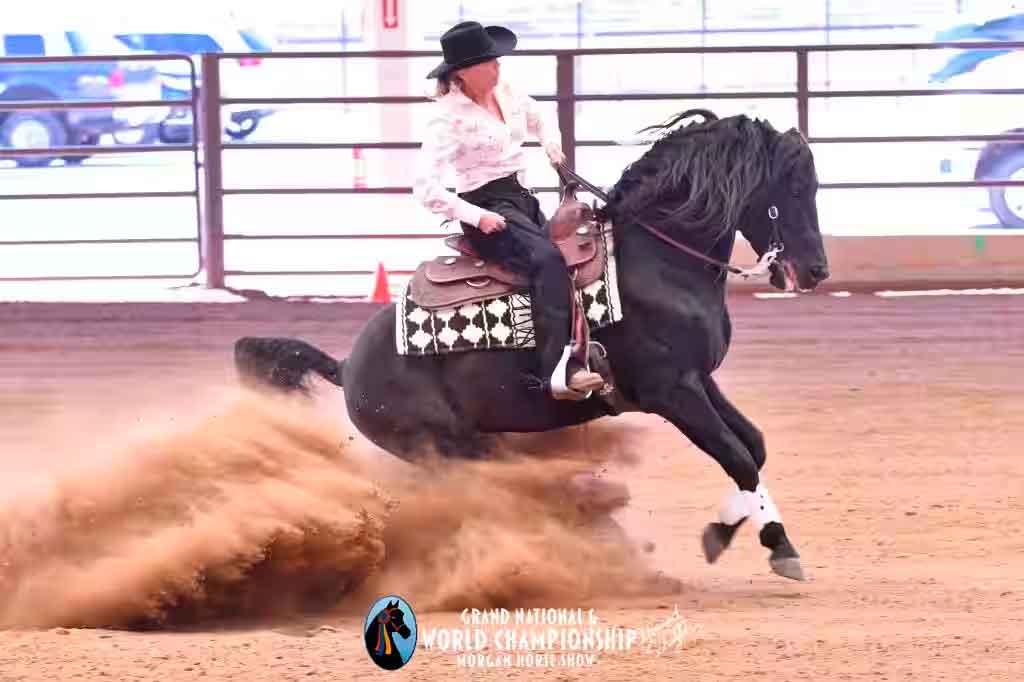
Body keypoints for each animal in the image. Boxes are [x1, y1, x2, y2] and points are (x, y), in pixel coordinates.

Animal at [233, 109, 830, 581]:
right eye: (794, 188)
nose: (817, 271)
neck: (658, 260)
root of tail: (347, 365)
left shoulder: (699, 379)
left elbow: (753, 446)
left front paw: (735, 531)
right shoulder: (671, 392)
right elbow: (738, 456)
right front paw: (778, 547)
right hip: (446, 447)